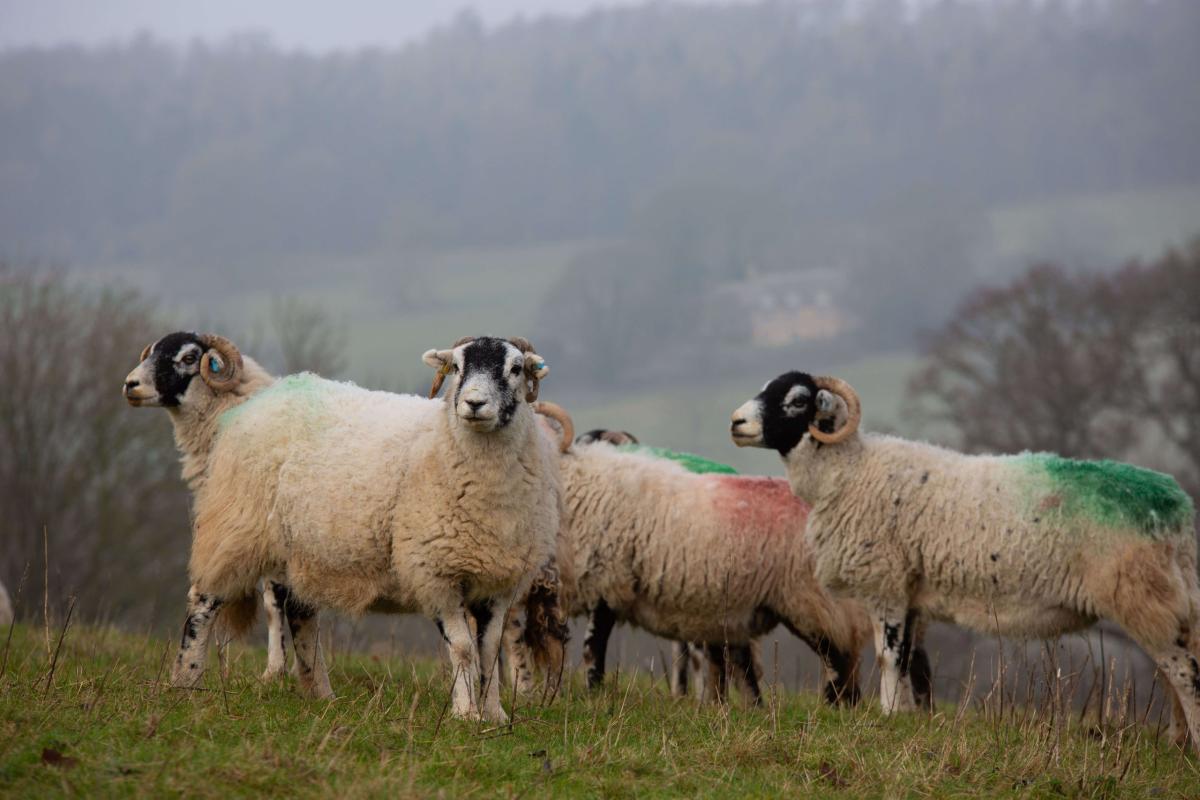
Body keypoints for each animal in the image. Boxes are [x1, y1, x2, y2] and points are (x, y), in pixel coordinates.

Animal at [125, 332, 562, 722]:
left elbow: (488, 651)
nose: (473, 403)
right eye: (456, 367)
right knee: (203, 603)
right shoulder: (434, 571)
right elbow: (464, 649)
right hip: (237, 528)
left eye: (515, 368)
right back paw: (186, 681)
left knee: (300, 614)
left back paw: (318, 691)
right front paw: (466, 714)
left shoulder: (500, 582)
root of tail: (262, 403)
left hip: (300, 549)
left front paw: (495, 715)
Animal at [731, 372, 1200, 750]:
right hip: (1168, 602)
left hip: (1141, 596)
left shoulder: (886, 585)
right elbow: (908, 661)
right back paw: (1176, 740)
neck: (849, 471)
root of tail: (1176, 507)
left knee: (1183, 673)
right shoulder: (912, 594)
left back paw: (1191, 744)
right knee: (1175, 668)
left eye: (797, 400)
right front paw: (905, 717)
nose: (736, 423)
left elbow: (888, 657)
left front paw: (887, 714)